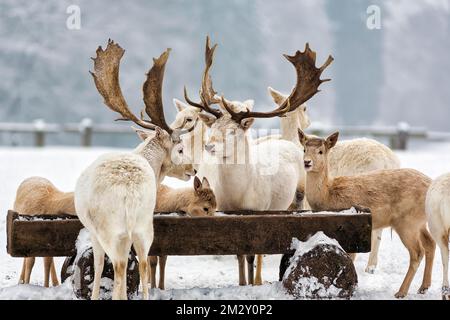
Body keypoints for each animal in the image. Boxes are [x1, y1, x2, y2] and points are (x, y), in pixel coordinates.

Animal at [73, 40, 192, 300]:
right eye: (180, 149)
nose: (193, 169)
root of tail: (130, 193)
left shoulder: (94, 232)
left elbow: (99, 266)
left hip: (112, 229)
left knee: (119, 266)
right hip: (143, 223)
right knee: (144, 263)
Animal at [184, 38, 334, 286]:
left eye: (233, 131)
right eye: (213, 128)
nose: (209, 146)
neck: (237, 195)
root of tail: (289, 141)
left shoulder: (258, 210)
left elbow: (254, 253)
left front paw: (252, 282)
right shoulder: (224, 212)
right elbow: (238, 253)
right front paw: (241, 282)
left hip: (297, 196)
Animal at [298, 129, 436, 298]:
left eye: (320, 151)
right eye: (304, 149)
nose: (307, 162)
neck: (328, 194)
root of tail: (431, 185)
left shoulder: (347, 227)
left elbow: (350, 257)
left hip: (407, 222)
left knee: (417, 252)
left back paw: (401, 292)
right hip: (419, 222)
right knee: (430, 243)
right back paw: (424, 287)